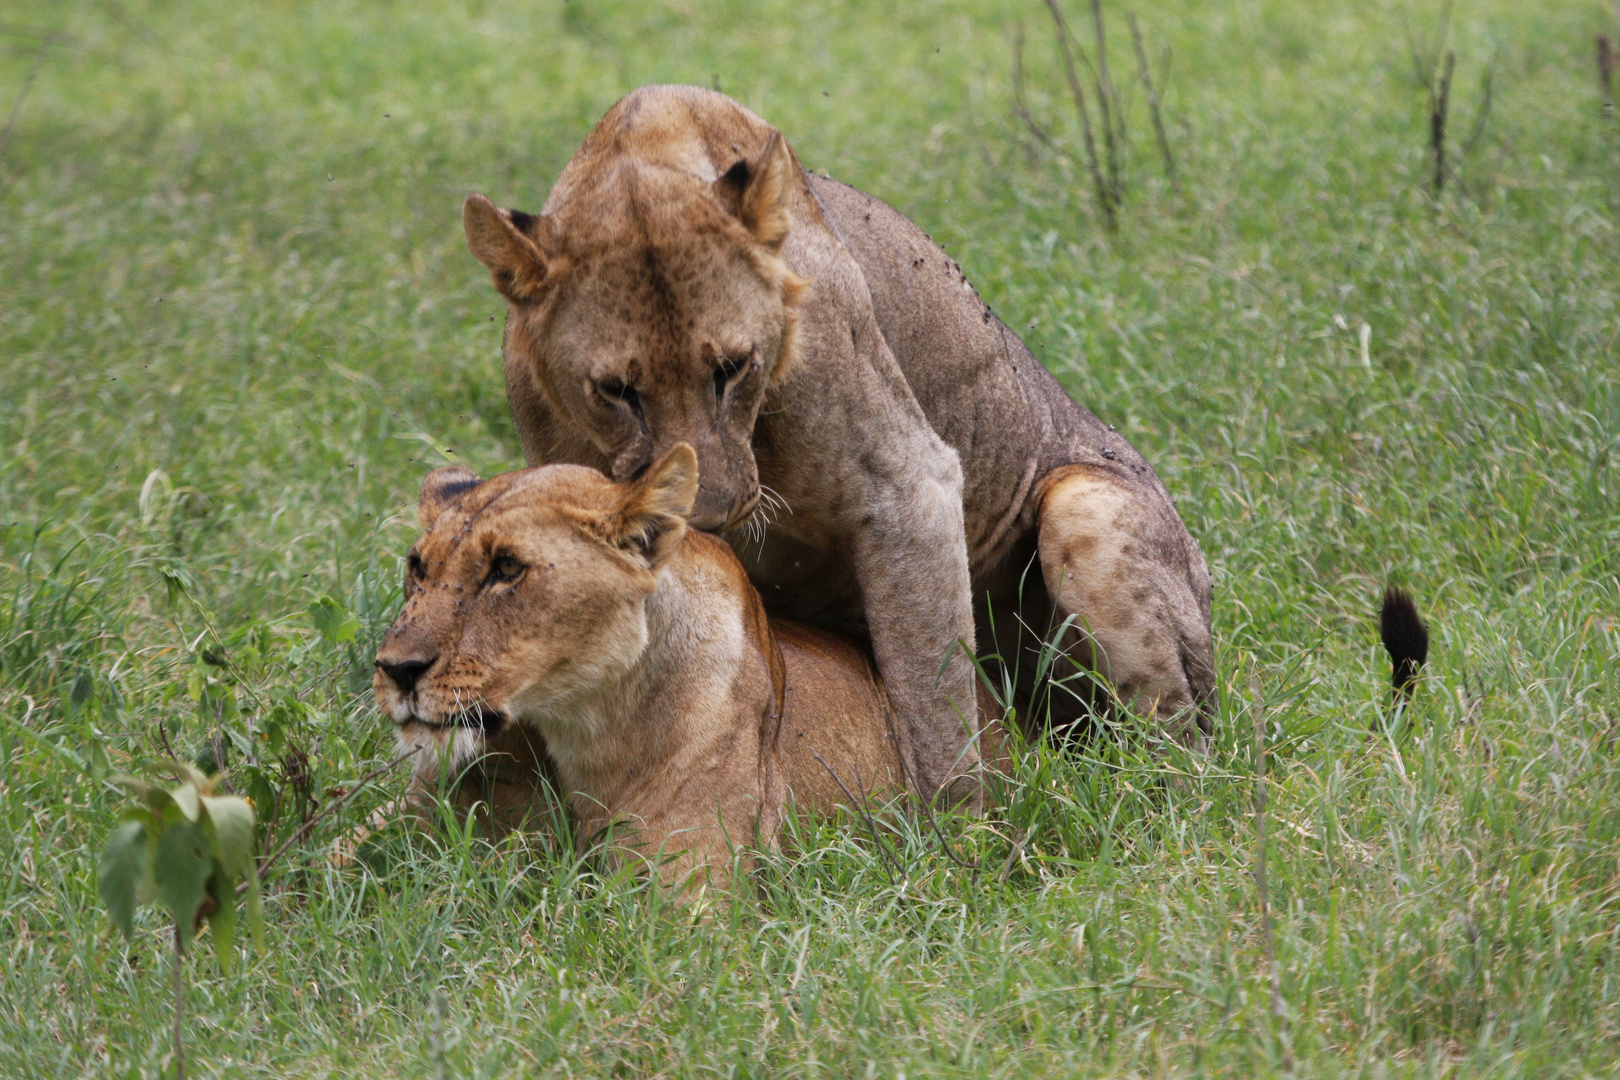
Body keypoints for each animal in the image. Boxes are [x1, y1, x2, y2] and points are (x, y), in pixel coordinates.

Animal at [463, 86, 1211, 803]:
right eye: (618, 390)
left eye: (733, 368)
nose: (707, 518)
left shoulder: (910, 486)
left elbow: (931, 702)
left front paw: (954, 836)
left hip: (1087, 511)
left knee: (1184, 741)